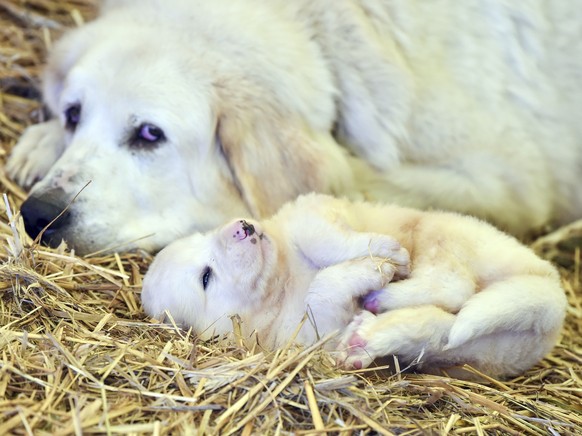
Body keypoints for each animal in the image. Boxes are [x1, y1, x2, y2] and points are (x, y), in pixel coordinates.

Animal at [4, 0, 582, 254]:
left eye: (150, 135)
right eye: (75, 115)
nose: (37, 215)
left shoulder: (507, 180)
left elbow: (354, 176)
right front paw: (40, 142)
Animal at [143, 194, 572, 378]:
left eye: (206, 236)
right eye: (206, 276)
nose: (243, 227)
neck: (283, 279)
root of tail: (550, 288)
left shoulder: (311, 208)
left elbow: (321, 237)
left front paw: (381, 253)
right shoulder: (311, 337)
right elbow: (323, 290)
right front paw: (372, 267)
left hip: (447, 234)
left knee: (453, 288)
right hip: (466, 340)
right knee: (446, 310)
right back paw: (367, 331)